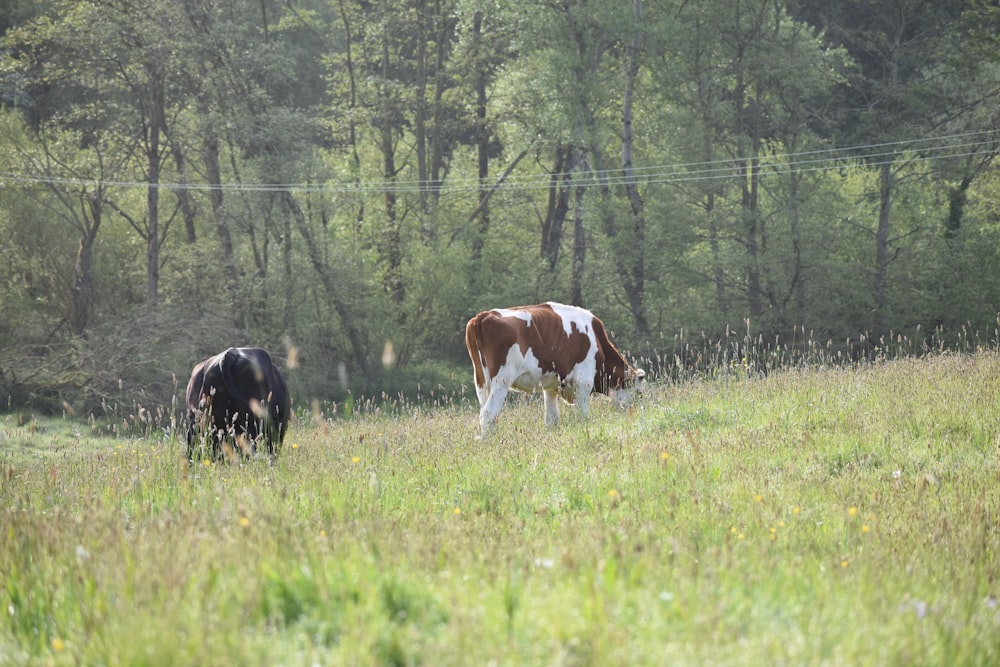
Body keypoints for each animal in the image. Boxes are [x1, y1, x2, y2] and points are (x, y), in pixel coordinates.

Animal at [464, 302, 644, 436]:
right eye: (639, 393)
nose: (633, 415)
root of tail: (484, 315)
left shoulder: (550, 386)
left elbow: (552, 419)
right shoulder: (584, 382)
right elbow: (583, 415)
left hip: (481, 381)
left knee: (484, 411)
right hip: (502, 380)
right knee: (489, 413)